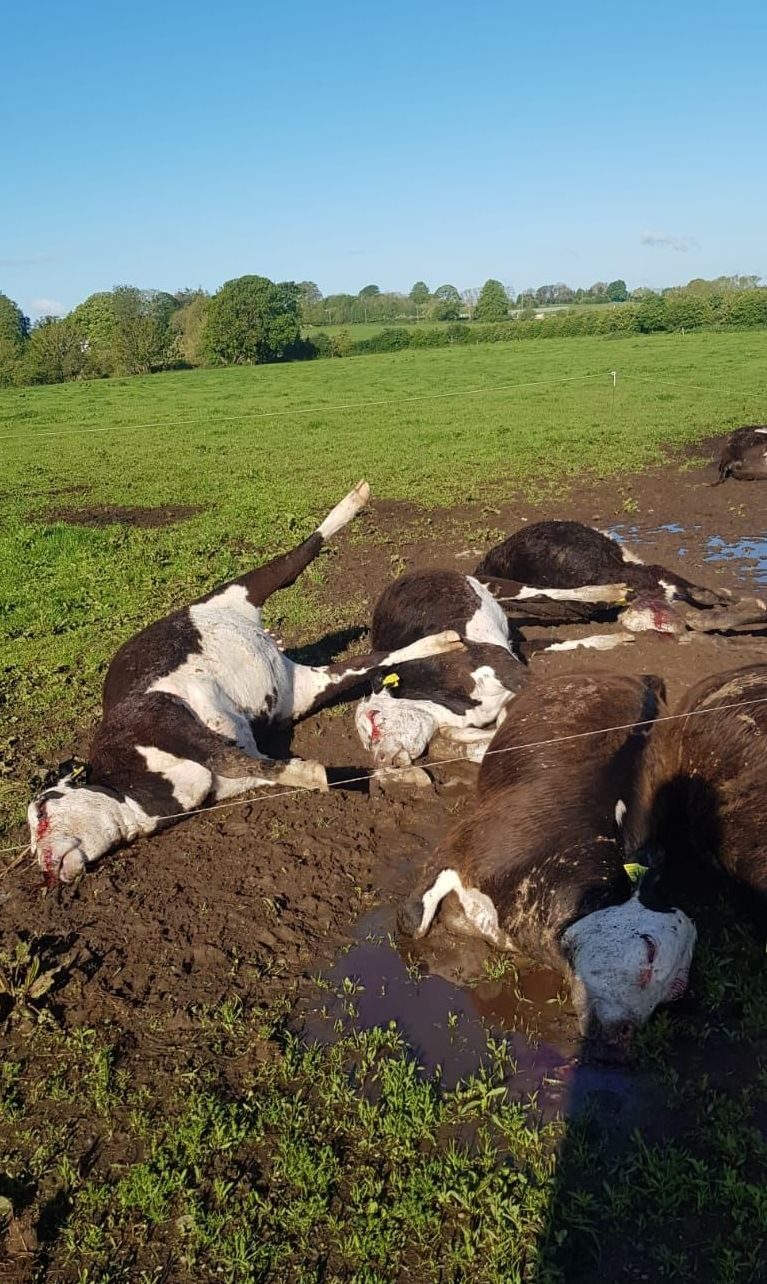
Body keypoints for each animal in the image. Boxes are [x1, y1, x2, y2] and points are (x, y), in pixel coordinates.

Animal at [26, 482, 459, 883]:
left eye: (42, 811)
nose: (43, 865)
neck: (140, 786)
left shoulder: (159, 714)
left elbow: (226, 757)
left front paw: (312, 774)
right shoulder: (230, 775)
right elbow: (255, 764)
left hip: (240, 589)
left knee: (296, 557)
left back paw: (355, 500)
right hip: (304, 688)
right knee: (371, 660)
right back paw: (443, 640)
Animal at [398, 672, 698, 1042]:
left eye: (676, 991)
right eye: (649, 948)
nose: (626, 1032)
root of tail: (638, 680)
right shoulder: (461, 842)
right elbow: (412, 920)